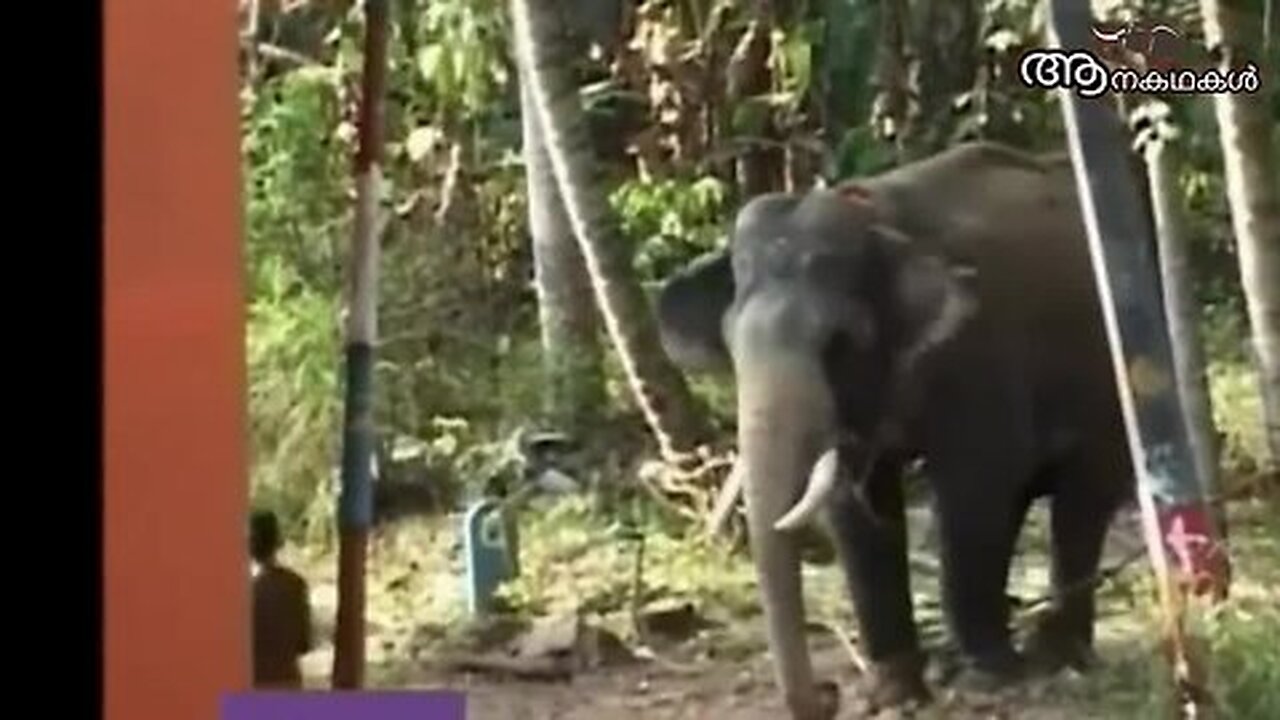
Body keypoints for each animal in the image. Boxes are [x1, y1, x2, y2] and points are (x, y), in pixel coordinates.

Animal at [656, 142, 1136, 719]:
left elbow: (974, 485)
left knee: (1080, 498)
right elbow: (858, 509)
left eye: (840, 342)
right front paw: (891, 695)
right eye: (730, 342)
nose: (829, 692)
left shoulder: (979, 351)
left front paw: (986, 684)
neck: (873, 217)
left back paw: (1055, 657)